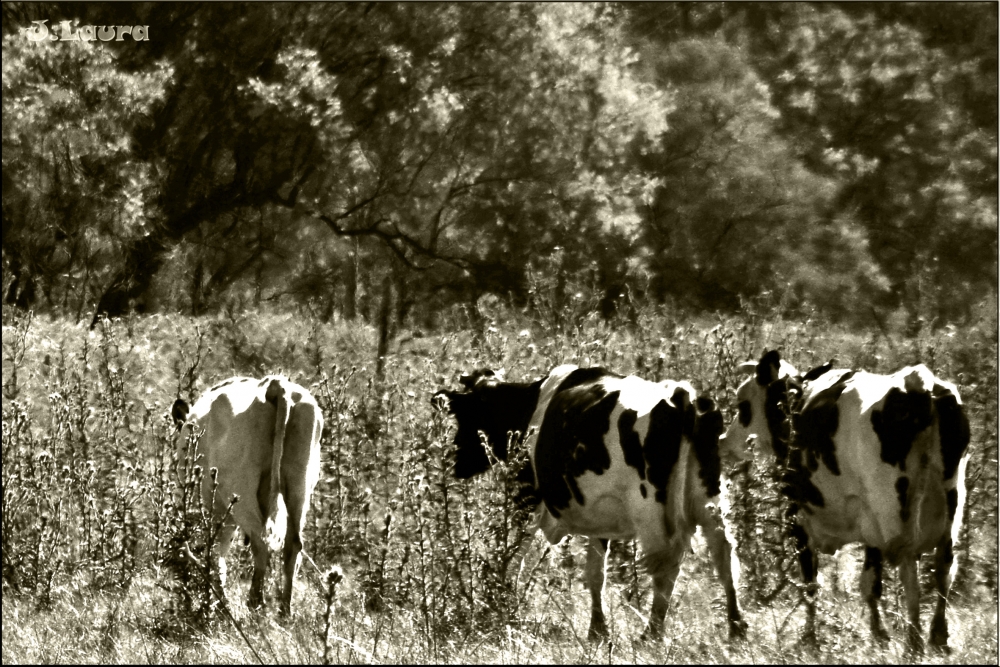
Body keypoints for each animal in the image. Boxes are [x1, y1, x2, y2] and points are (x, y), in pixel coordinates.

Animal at [170, 376, 322, 616]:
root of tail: (275, 385)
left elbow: (216, 552)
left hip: (240, 492)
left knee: (260, 542)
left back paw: (255, 602)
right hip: (300, 485)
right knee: (293, 544)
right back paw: (284, 611)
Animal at [434, 366, 748, 640]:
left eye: (464, 415)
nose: (453, 460)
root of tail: (681, 395)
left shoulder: (528, 498)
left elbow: (513, 556)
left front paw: (501, 603)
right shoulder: (601, 515)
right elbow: (596, 573)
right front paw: (598, 630)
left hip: (650, 512)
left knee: (665, 567)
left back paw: (652, 634)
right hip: (710, 500)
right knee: (724, 554)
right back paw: (736, 628)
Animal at [724, 350, 972, 652]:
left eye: (742, 404)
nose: (723, 441)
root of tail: (917, 384)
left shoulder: (798, 516)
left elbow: (810, 583)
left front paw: (810, 637)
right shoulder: (869, 521)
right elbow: (870, 583)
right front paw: (879, 634)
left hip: (894, 511)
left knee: (909, 570)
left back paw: (914, 641)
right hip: (950, 504)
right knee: (944, 568)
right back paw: (938, 636)